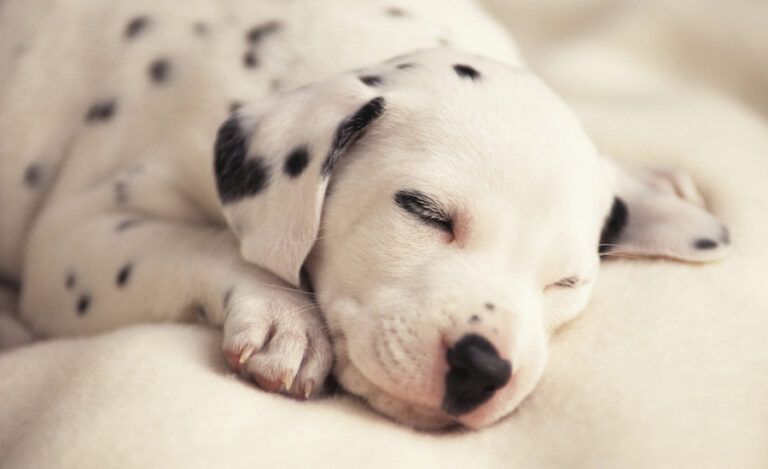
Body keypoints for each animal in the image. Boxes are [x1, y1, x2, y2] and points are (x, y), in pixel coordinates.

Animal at [1, 0, 732, 428]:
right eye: (424, 211)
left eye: (565, 283)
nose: (484, 369)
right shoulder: (74, 240)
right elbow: (202, 243)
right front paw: (285, 320)